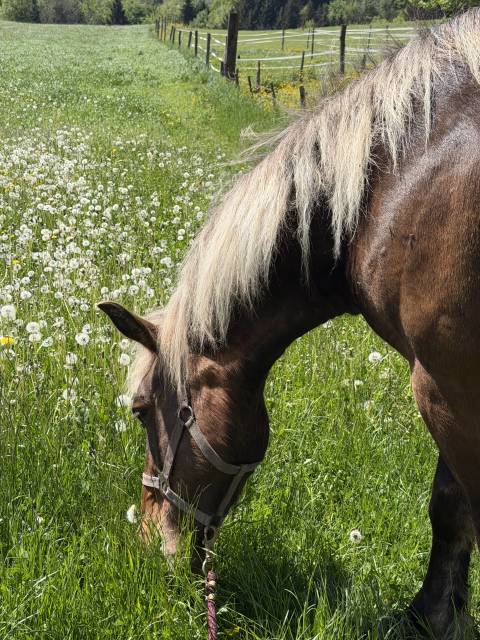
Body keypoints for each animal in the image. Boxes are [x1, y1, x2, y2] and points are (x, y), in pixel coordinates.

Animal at [100, 10, 480, 638]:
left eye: (139, 411)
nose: (151, 542)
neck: (395, 182)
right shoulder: (449, 383)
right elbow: (452, 501)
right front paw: (439, 613)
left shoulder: (446, 381)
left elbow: (458, 505)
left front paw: (433, 615)